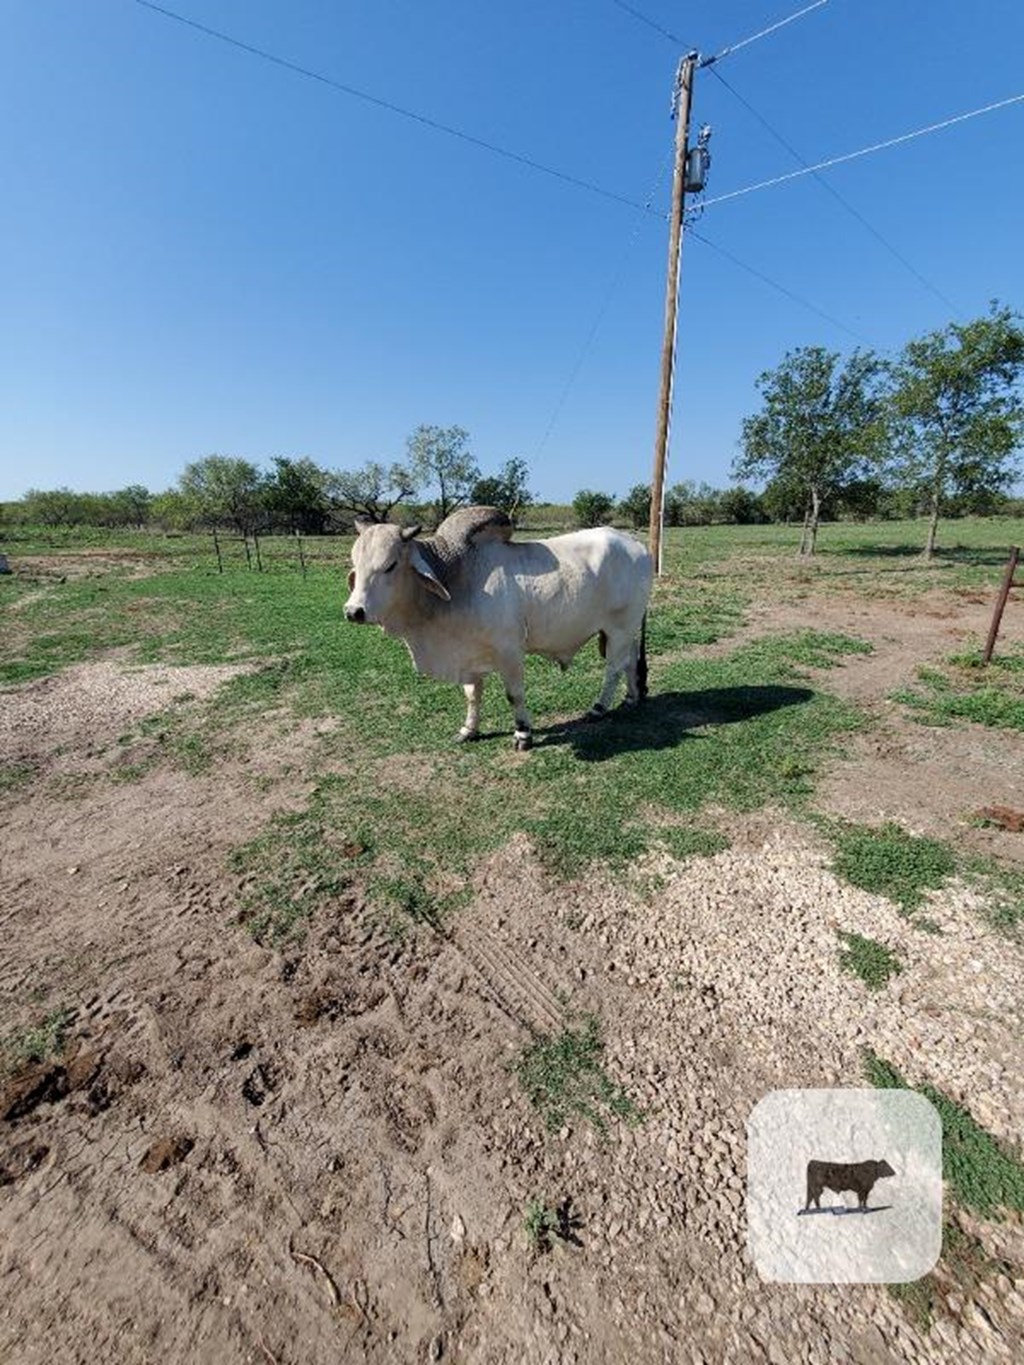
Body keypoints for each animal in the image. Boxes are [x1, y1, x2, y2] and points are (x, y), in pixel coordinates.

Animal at [342, 507, 649, 753]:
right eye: (356, 564)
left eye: (390, 566)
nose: (353, 611)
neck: (457, 578)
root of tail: (635, 543)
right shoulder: (468, 655)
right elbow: (472, 694)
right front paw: (468, 730)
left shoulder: (509, 651)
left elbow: (514, 695)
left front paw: (523, 734)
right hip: (626, 631)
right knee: (629, 660)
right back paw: (632, 697)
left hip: (619, 628)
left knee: (613, 668)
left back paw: (599, 707)